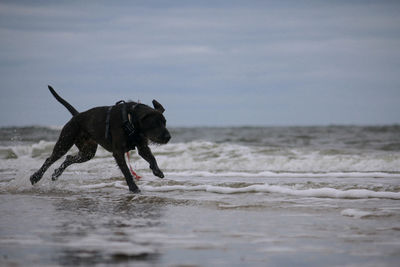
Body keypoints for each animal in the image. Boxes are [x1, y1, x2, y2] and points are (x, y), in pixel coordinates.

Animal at [29, 86, 170, 193]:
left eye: (164, 122)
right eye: (155, 124)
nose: (168, 137)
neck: (130, 121)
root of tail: (77, 116)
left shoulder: (142, 146)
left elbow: (152, 157)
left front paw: (157, 170)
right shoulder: (118, 152)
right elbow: (126, 171)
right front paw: (133, 188)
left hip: (88, 152)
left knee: (69, 158)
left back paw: (56, 174)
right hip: (65, 141)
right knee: (50, 159)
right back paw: (36, 177)